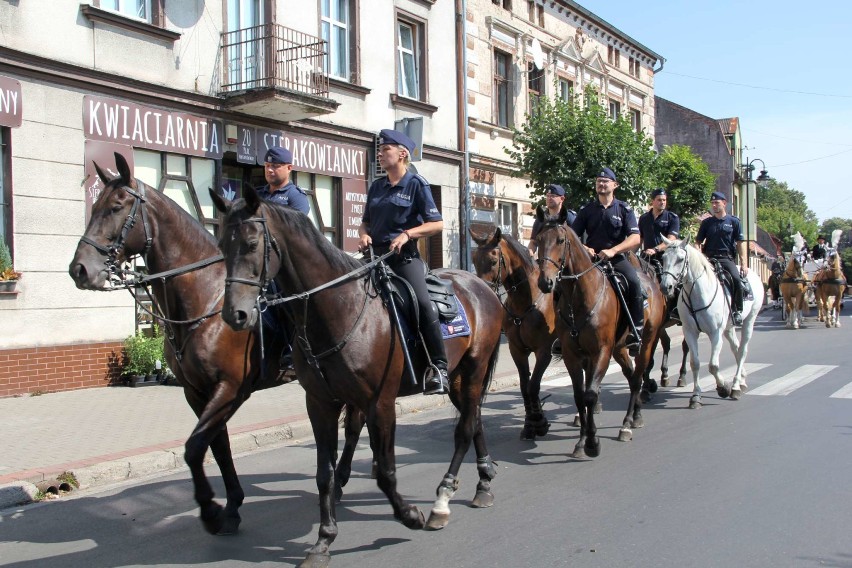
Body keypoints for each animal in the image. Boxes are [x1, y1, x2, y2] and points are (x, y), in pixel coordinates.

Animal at [66, 154, 294, 536]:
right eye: (94, 207)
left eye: (115, 207)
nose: (79, 269)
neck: (206, 299)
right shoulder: (196, 391)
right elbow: (217, 445)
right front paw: (231, 507)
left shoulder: (230, 388)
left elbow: (194, 447)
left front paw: (211, 509)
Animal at [213, 187, 506, 568]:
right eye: (221, 244)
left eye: (251, 244)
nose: (235, 314)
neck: (340, 307)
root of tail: (481, 286)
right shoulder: (320, 404)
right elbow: (324, 473)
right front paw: (323, 541)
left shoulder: (380, 403)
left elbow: (384, 470)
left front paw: (410, 515)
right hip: (459, 378)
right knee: (475, 419)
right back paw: (483, 482)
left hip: (472, 370)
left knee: (465, 428)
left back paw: (442, 500)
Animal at [470, 226, 556, 440]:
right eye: (474, 260)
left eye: (493, 261)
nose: (481, 292)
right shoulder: (517, 350)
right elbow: (525, 386)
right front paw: (529, 424)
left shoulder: (544, 351)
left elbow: (534, 385)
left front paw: (538, 422)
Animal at [532, 206, 664, 460]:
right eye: (539, 239)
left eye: (560, 240)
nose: (545, 282)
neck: (581, 297)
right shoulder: (573, 355)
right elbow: (579, 395)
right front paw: (582, 440)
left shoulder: (601, 351)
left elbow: (591, 395)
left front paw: (592, 442)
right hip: (619, 349)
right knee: (631, 375)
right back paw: (633, 416)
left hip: (645, 343)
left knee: (637, 377)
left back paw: (628, 423)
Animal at [660, 236, 764, 408]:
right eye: (663, 258)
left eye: (680, 259)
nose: (665, 287)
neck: (697, 293)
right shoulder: (690, 332)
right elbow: (695, 363)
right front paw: (696, 396)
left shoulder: (715, 334)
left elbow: (713, 365)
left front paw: (723, 388)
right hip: (728, 328)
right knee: (736, 349)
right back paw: (741, 381)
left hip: (749, 320)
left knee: (742, 350)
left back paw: (735, 387)